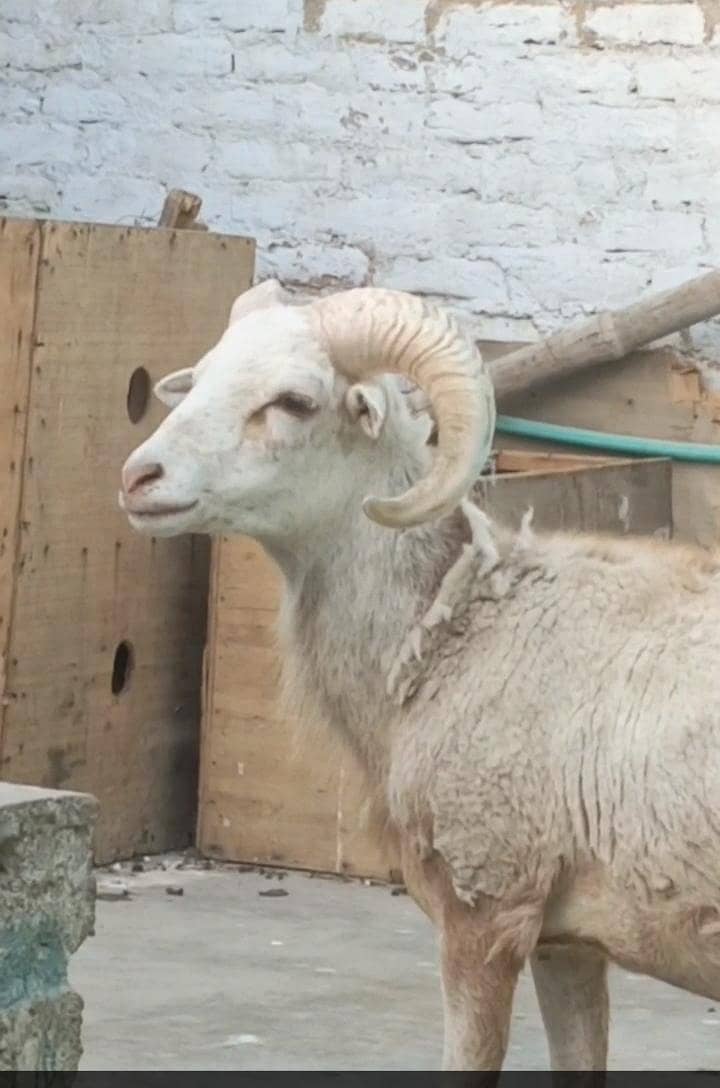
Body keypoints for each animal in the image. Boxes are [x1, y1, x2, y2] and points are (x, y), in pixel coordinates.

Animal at [120, 279, 720, 1072]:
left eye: (294, 401)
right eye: (202, 377)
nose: (139, 478)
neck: (451, 624)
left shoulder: (484, 909)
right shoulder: (566, 944)